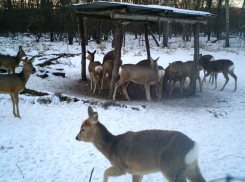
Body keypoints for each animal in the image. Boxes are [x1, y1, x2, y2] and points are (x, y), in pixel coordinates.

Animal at [75, 105, 206, 182]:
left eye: (83, 129)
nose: (76, 137)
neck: (111, 147)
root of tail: (193, 145)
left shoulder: (121, 166)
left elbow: (105, 172)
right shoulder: (137, 171)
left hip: (172, 167)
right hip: (191, 167)